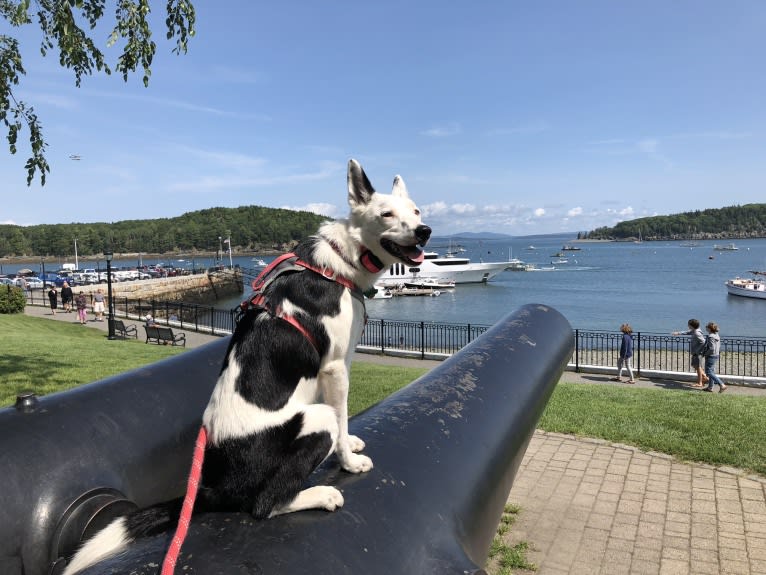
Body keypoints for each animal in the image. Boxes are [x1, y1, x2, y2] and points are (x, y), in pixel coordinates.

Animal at [61, 160, 432, 572]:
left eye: (416, 211)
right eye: (386, 215)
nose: (425, 231)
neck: (340, 259)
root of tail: (218, 486)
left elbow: (345, 417)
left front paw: (347, 441)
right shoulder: (335, 368)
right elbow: (341, 414)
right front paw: (349, 461)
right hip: (310, 422)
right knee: (263, 503)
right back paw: (318, 495)